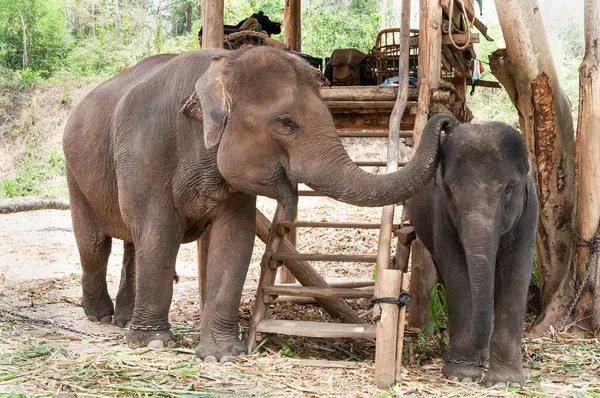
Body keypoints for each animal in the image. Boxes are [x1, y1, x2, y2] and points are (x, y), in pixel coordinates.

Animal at [62, 45, 454, 360]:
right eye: (287, 123)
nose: (447, 122)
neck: (222, 64)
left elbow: (235, 238)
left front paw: (223, 354)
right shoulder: (148, 152)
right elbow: (159, 235)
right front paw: (154, 344)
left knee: (131, 242)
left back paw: (122, 319)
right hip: (75, 174)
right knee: (97, 246)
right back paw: (100, 316)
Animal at [408, 118, 540, 386]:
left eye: (509, 188)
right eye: (450, 191)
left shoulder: (529, 213)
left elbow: (517, 271)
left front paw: (505, 381)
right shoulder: (442, 214)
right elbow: (457, 272)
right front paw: (462, 375)